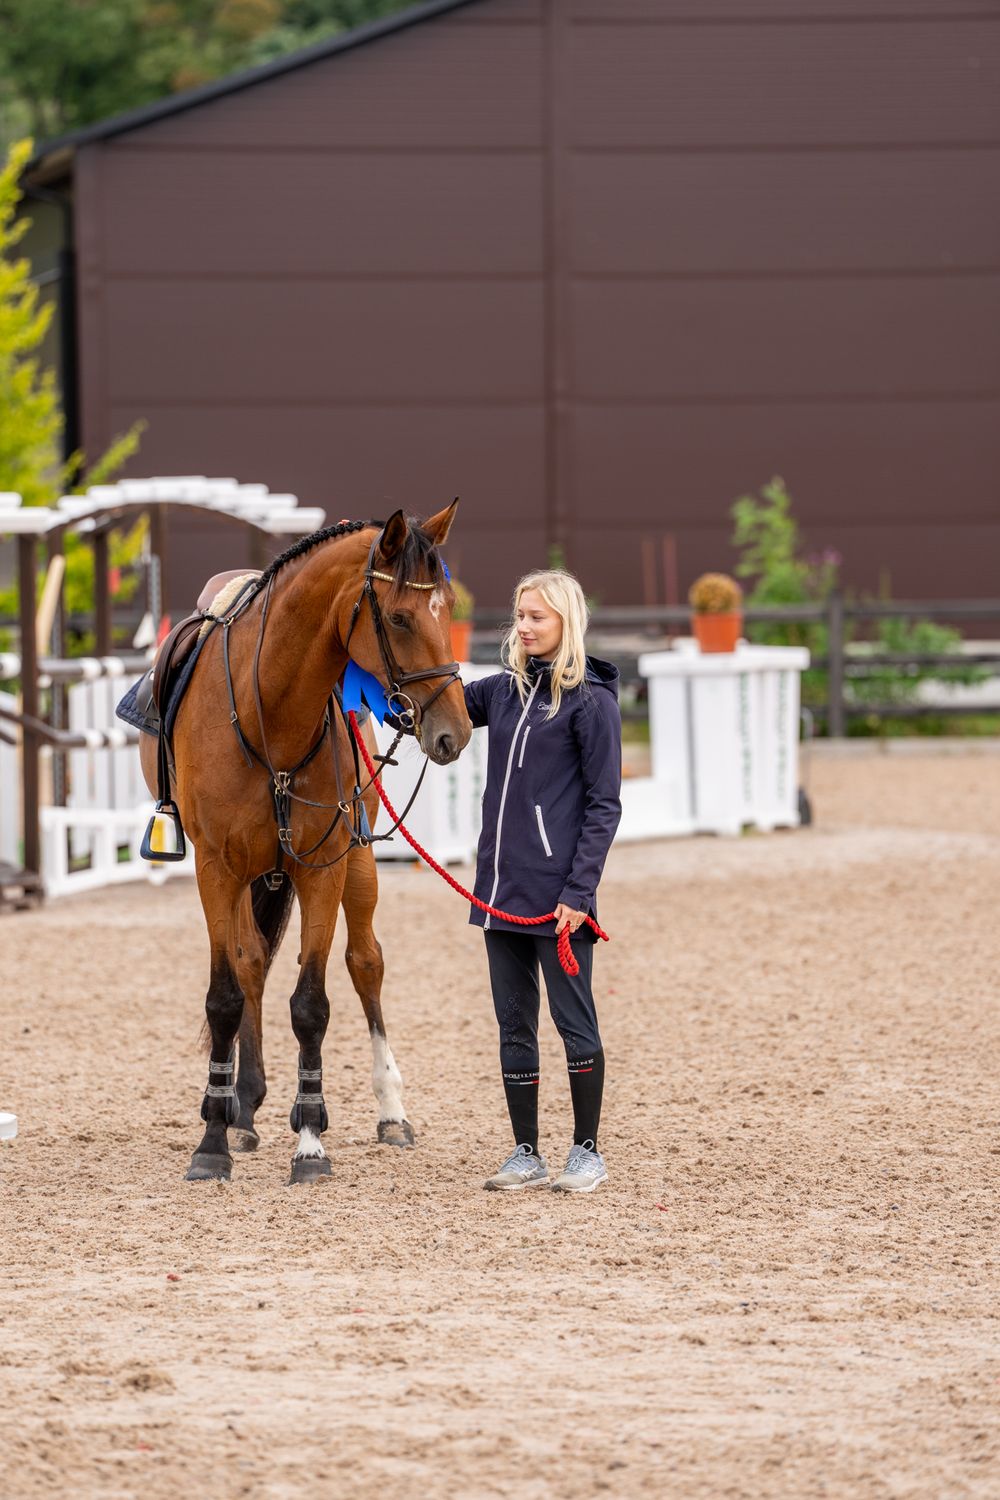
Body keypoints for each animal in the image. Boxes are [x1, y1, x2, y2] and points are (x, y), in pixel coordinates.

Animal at [138, 504, 472, 1184]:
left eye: (447, 606)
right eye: (399, 617)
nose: (455, 731)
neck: (268, 707)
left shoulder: (323, 866)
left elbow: (312, 1004)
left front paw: (311, 1141)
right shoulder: (215, 869)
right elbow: (225, 996)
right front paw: (212, 1139)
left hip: (359, 861)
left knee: (366, 963)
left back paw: (389, 1111)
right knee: (250, 965)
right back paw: (241, 1109)